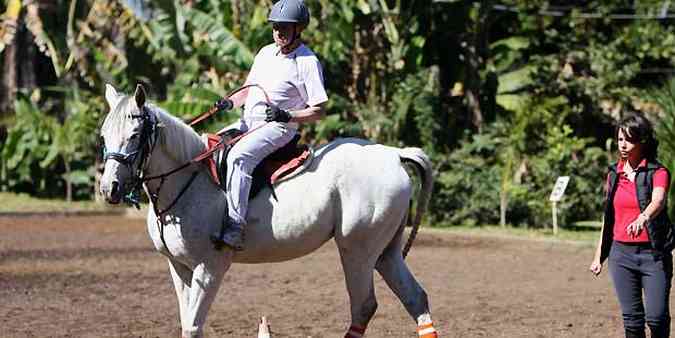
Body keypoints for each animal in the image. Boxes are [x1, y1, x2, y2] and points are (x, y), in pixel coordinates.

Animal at [100, 84, 438, 338]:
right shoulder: (179, 266)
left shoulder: (210, 266)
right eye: (104, 135)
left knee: (364, 305)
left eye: (134, 135)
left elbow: (193, 327)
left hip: (357, 248)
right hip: (386, 251)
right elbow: (186, 322)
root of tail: (394, 155)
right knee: (415, 298)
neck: (187, 179)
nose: (109, 188)